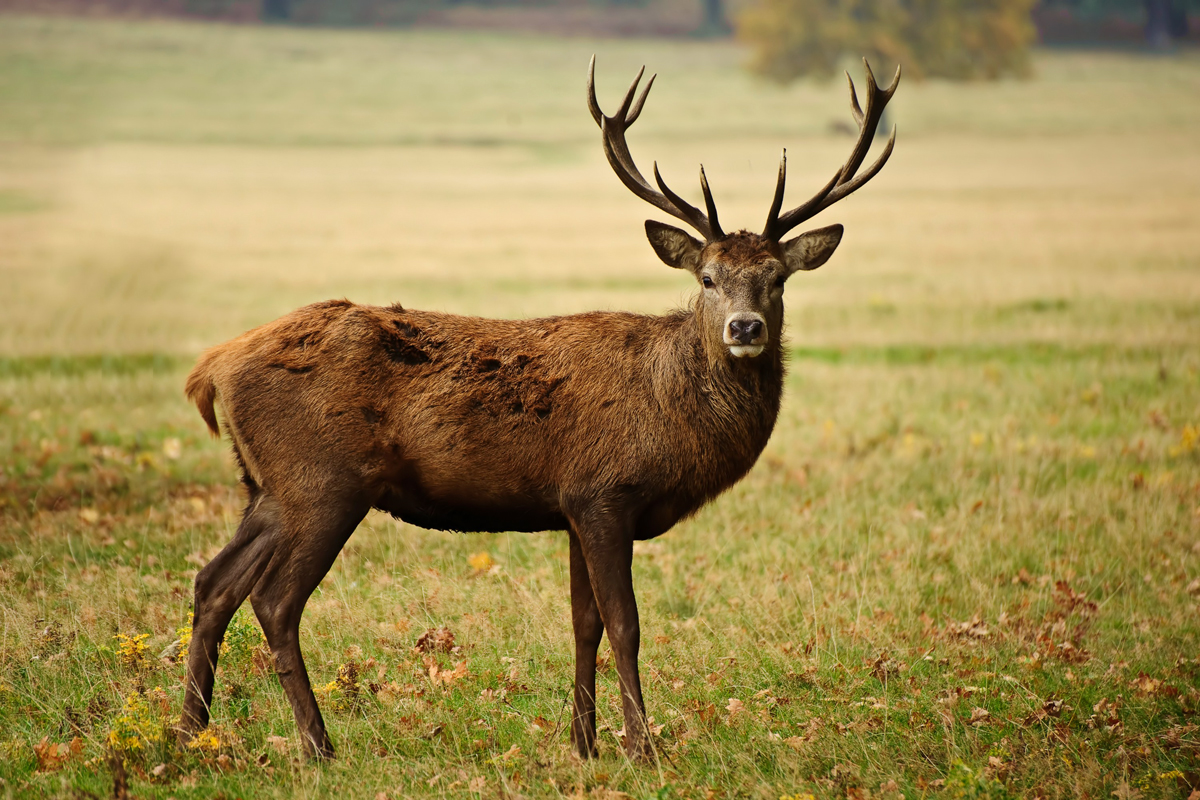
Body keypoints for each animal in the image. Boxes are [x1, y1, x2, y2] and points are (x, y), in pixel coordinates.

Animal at [178, 56, 899, 761]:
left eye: (778, 278)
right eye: (707, 278)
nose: (745, 328)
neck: (670, 414)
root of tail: (213, 367)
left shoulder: (573, 505)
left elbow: (584, 624)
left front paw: (583, 745)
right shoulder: (605, 491)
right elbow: (625, 624)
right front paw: (643, 749)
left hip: (267, 487)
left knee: (214, 583)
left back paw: (190, 735)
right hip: (322, 481)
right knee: (274, 601)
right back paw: (317, 747)